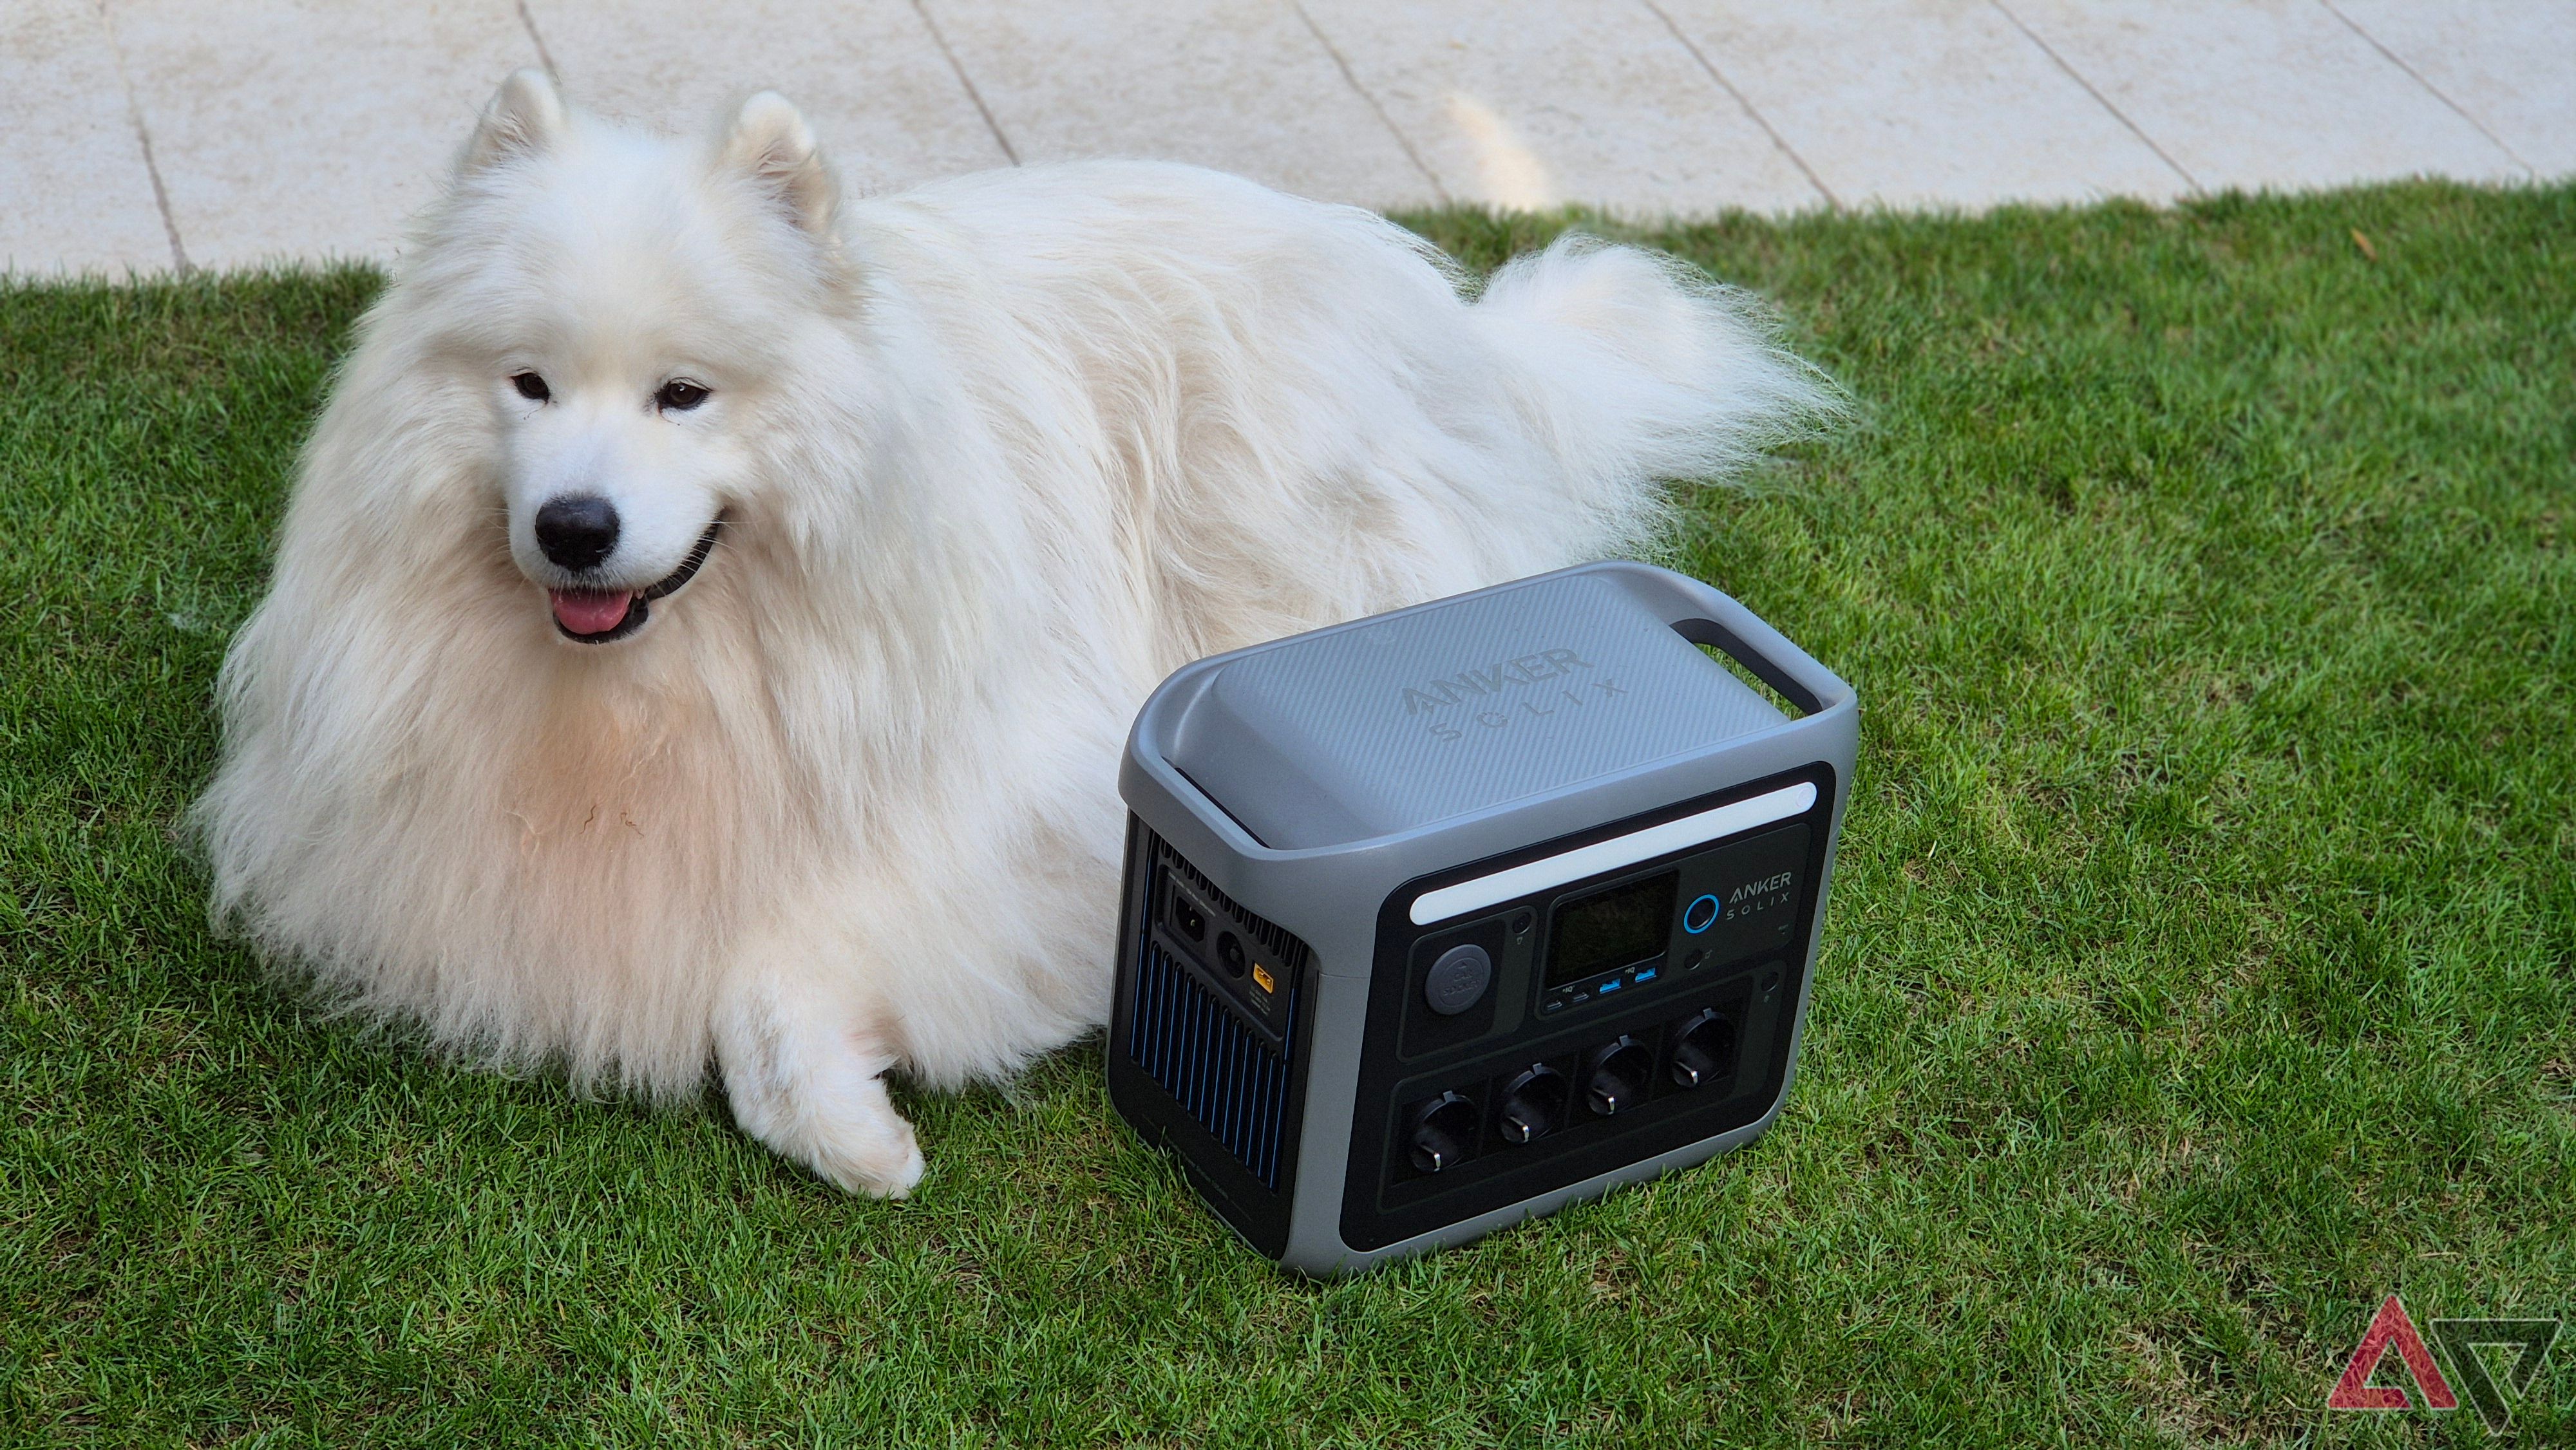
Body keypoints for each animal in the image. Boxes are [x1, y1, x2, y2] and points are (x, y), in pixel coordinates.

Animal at [191, 73, 1824, 1195]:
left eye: (682, 395)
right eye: (525, 384)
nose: (574, 528)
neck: (672, 679)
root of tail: (1448, 319)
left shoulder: (1022, 811)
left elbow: (780, 981)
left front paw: (856, 1128)